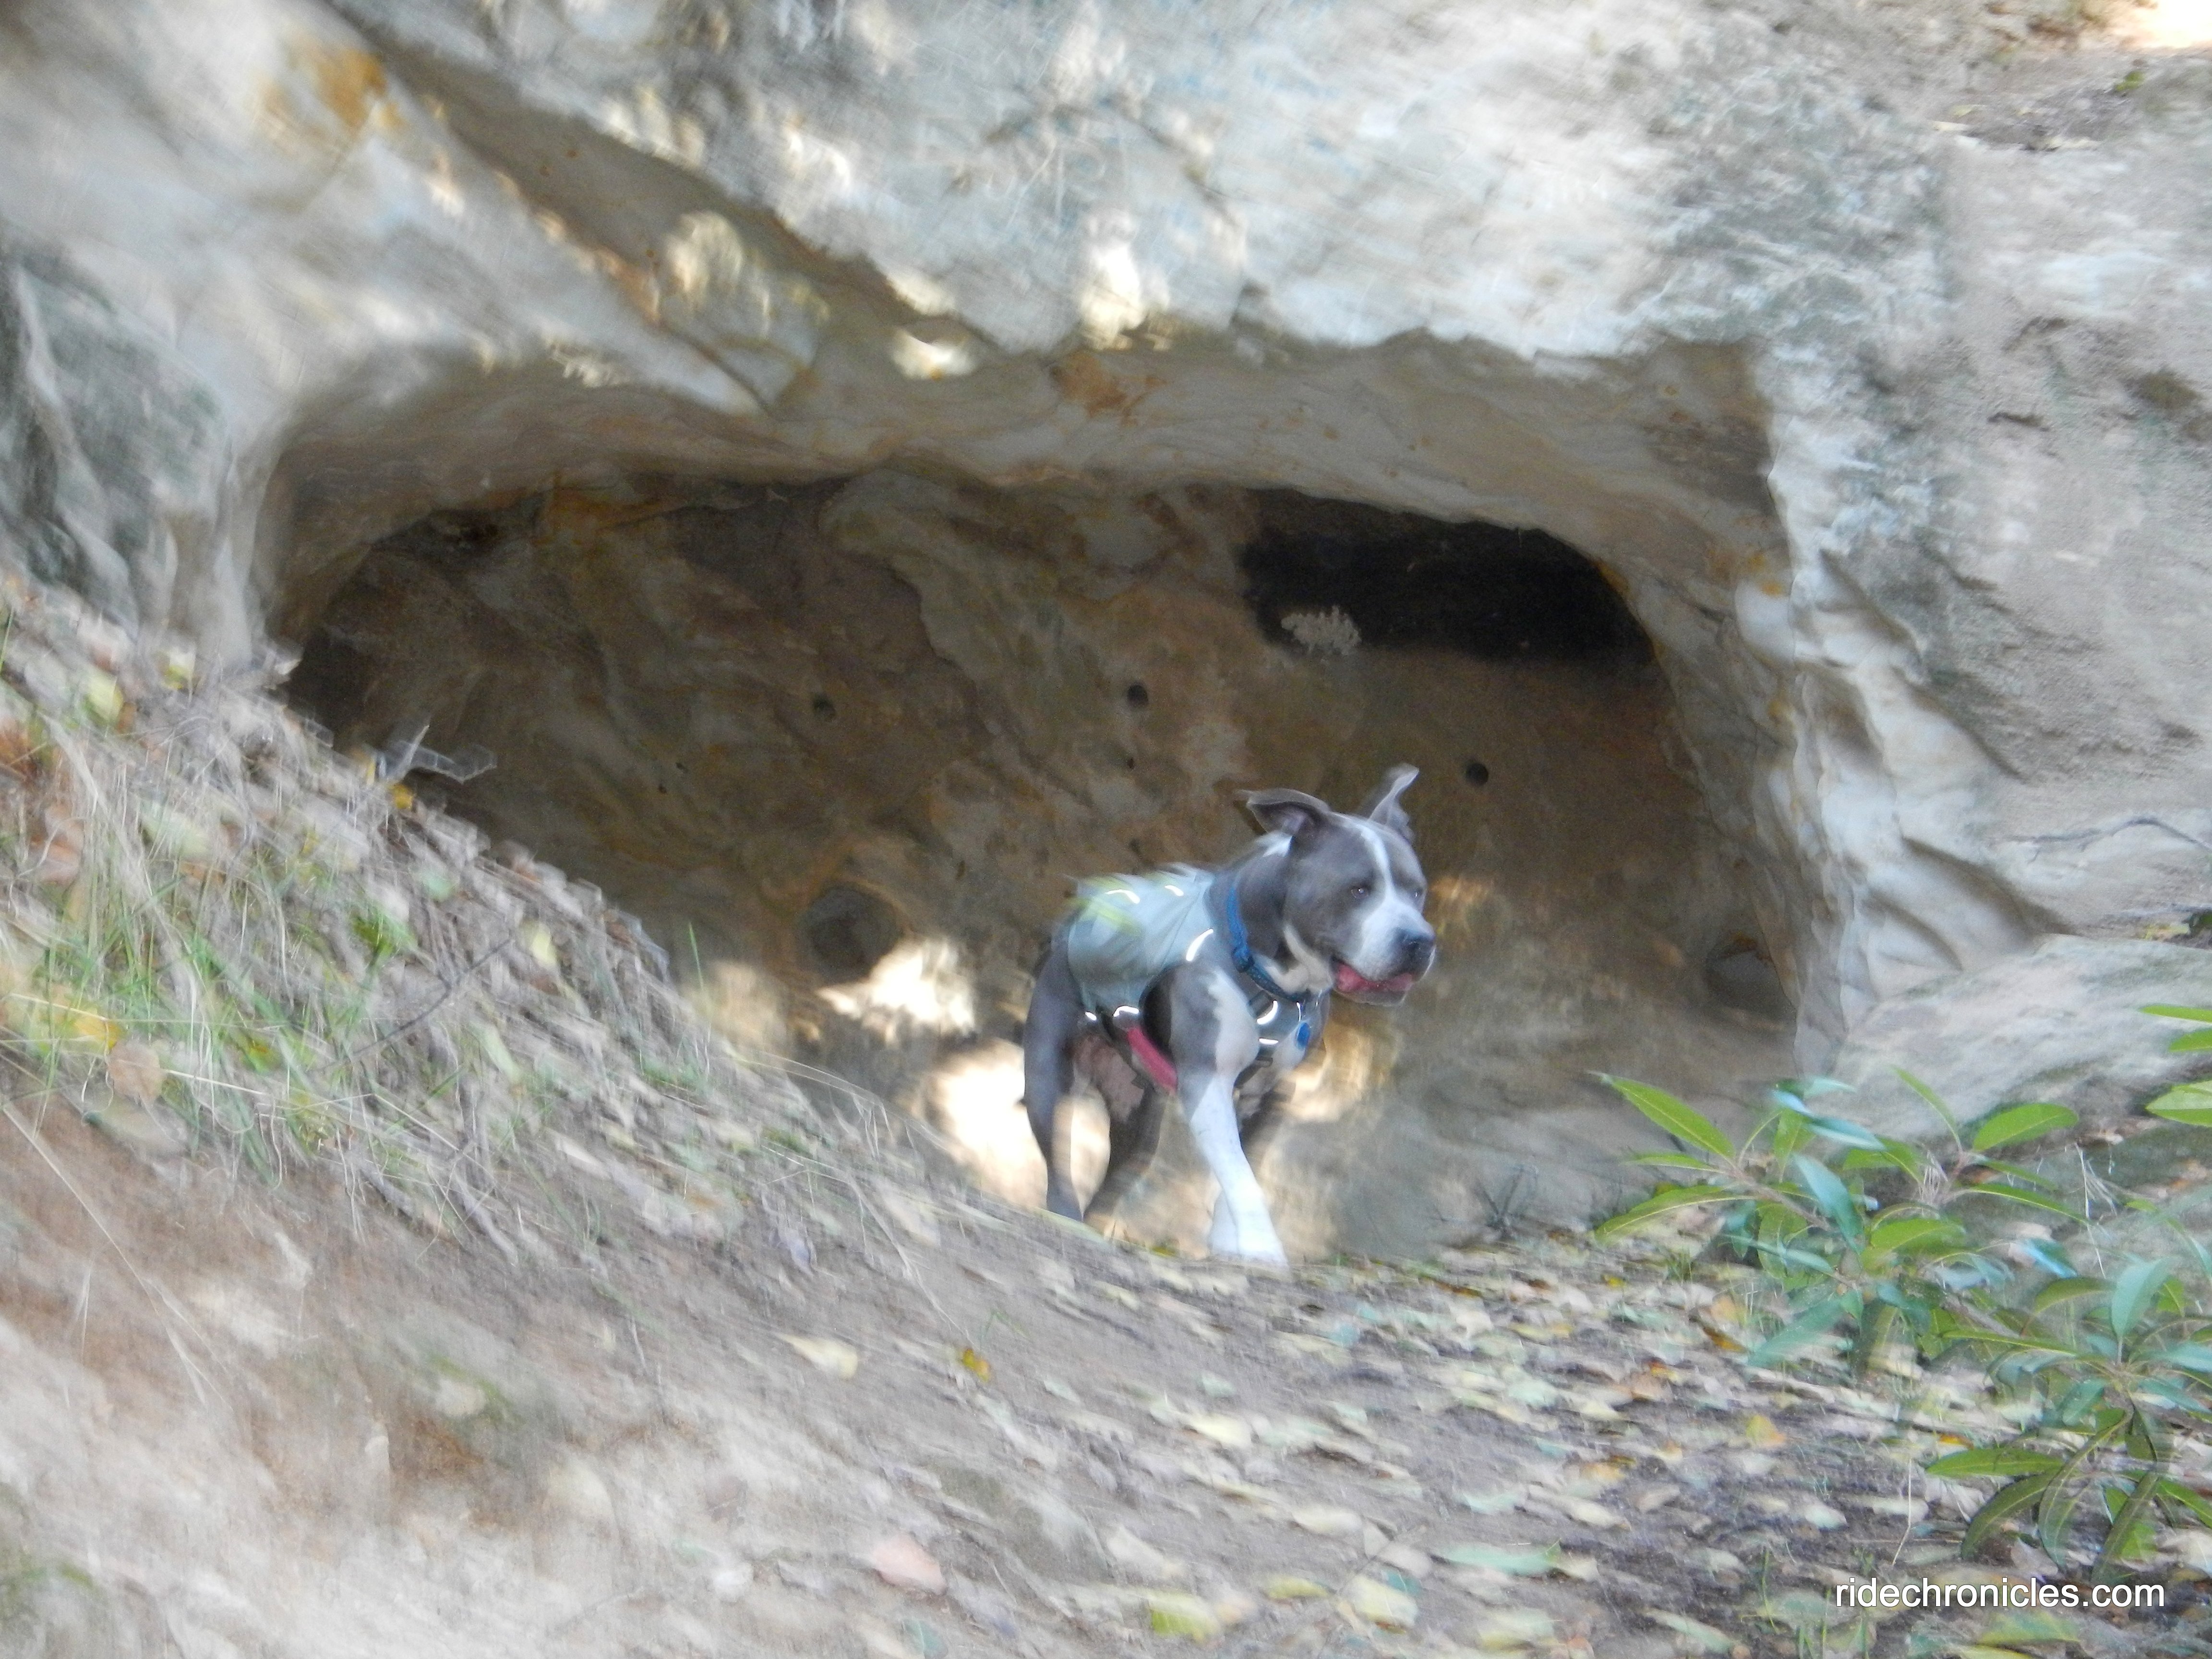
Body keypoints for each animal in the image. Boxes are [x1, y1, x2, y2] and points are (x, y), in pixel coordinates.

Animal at [1021, 765, 1436, 1263]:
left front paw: (1229, 1244)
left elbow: (1242, 1170)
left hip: (1139, 1114)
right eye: (1358, 889)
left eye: (1417, 892)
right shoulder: (1208, 1081)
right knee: (1057, 1157)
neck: (1274, 977)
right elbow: (1239, 1173)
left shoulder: (1269, 1094)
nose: (1419, 941)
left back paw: (1097, 1226)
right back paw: (1065, 1217)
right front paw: (1263, 1249)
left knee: (1121, 1169)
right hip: (1047, 1070)